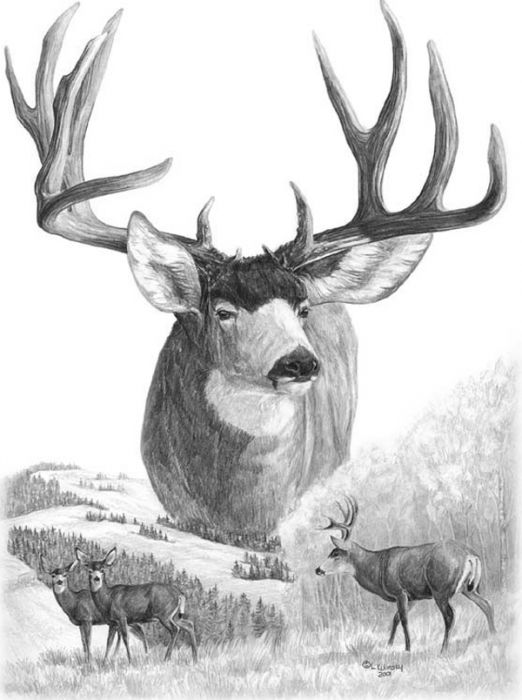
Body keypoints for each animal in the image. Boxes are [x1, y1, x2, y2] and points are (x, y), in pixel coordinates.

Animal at [315, 497, 496, 653]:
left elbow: (403, 620)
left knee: (450, 616)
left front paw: (408, 648)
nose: (318, 570)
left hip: (441, 589)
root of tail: (471, 555)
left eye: (336, 554)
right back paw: (494, 634)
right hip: (469, 588)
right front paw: (389, 645)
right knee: (487, 604)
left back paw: (443, 649)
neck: (378, 567)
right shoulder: (413, 596)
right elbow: (395, 618)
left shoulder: (399, 591)